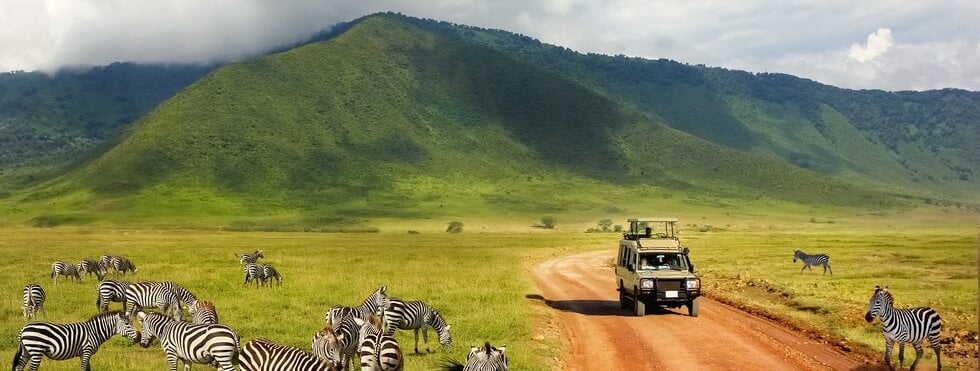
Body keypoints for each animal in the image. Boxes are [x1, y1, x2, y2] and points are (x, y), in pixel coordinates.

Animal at [12, 310, 140, 371]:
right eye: (127, 324)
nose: (139, 337)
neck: (94, 331)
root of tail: (24, 328)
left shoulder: (84, 353)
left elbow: (88, 369)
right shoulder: (86, 351)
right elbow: (83, 369)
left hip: (26, 352)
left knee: (18, 367)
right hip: (36, 351)